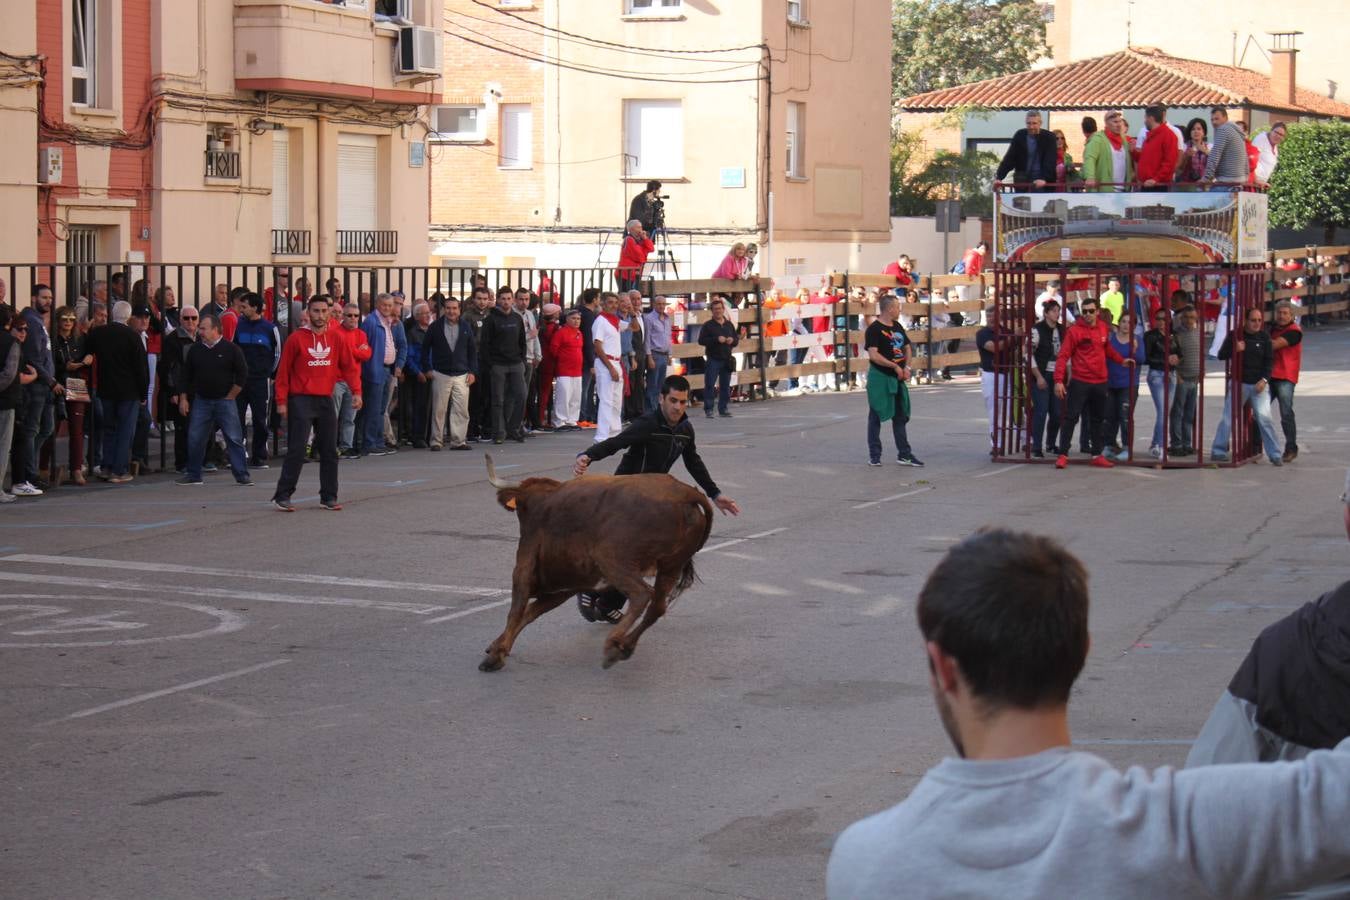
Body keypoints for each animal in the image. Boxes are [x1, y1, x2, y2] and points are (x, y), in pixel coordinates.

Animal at [477, 453, 712, 671]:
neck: (543, 502)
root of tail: (685, 493)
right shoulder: (564, 587)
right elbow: (529, 613)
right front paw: (497, 646)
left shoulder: (524, 568)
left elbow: (517, 611)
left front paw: (495, 655)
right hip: (670, 568)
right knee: (657, 606)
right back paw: (624, 647)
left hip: (612, 559)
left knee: (642, 594)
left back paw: (612, 644)